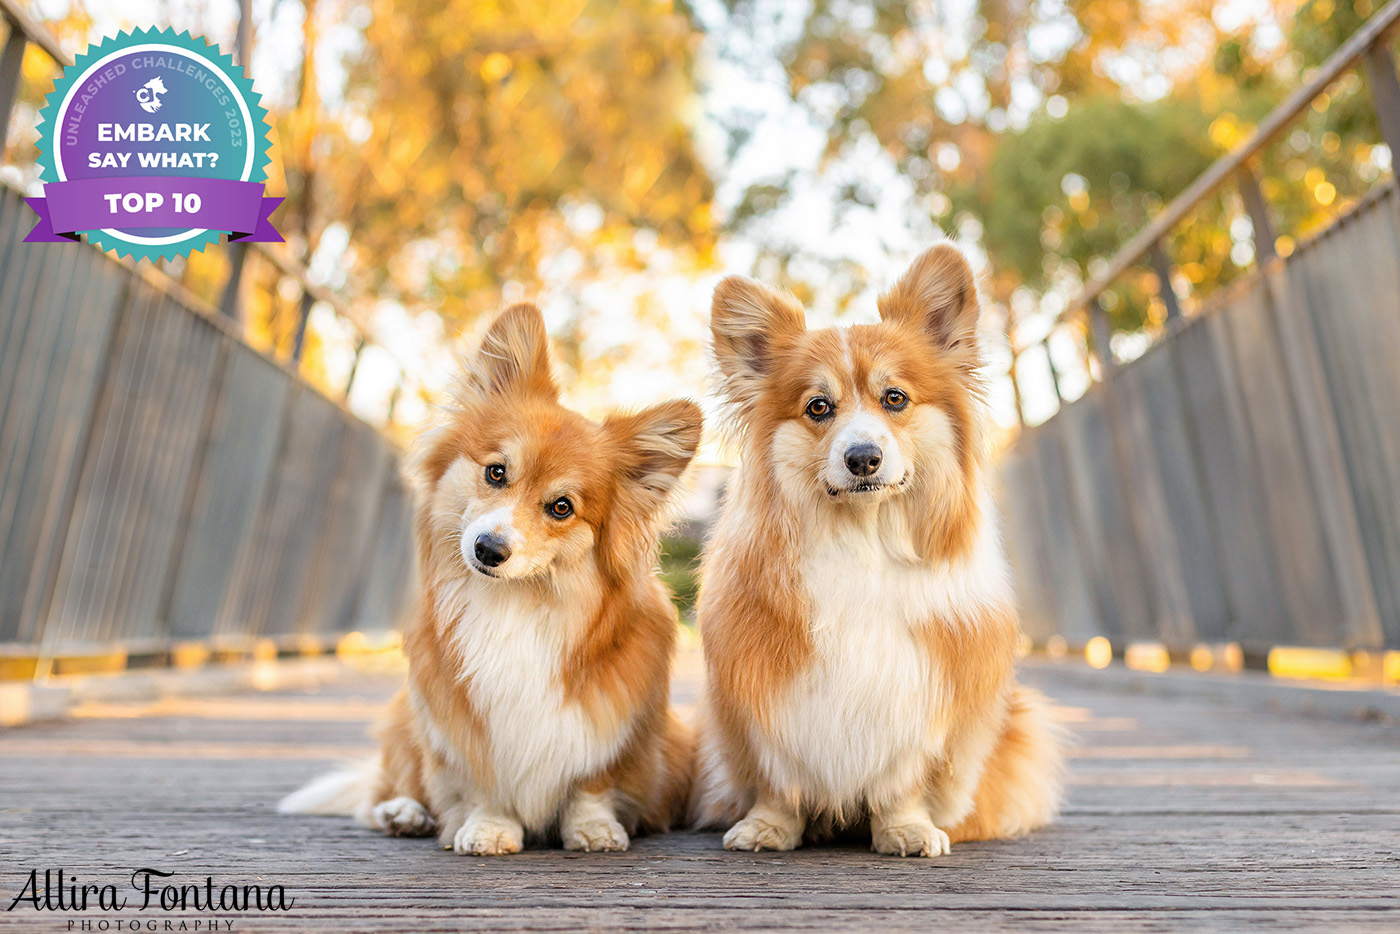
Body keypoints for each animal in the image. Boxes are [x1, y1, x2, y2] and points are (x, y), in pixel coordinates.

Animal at [688, 246, 1058, 856]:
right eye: (818, 407)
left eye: (895, 399)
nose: (863, 457)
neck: (863, 538)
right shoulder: (761, 696)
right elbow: (778, 776)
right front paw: (769, 827)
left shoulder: (922, 698)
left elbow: (902, 780)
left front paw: (906, 830)